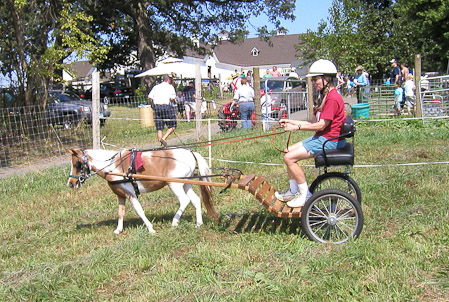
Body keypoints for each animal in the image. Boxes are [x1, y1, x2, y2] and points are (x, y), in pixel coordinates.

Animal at [67, 148, 219, 234]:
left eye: (77, 164)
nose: (71, 183)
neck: (113, 166)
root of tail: (191, 152)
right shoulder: (121, 195)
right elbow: (120, 213)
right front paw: (118, 230)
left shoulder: (131, 194)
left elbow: (139, 211)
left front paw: (151, 228)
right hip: (186, 184)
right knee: (196, 200)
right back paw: (198, 223)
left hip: (174, 184)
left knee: (184, 200)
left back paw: (174, 222)